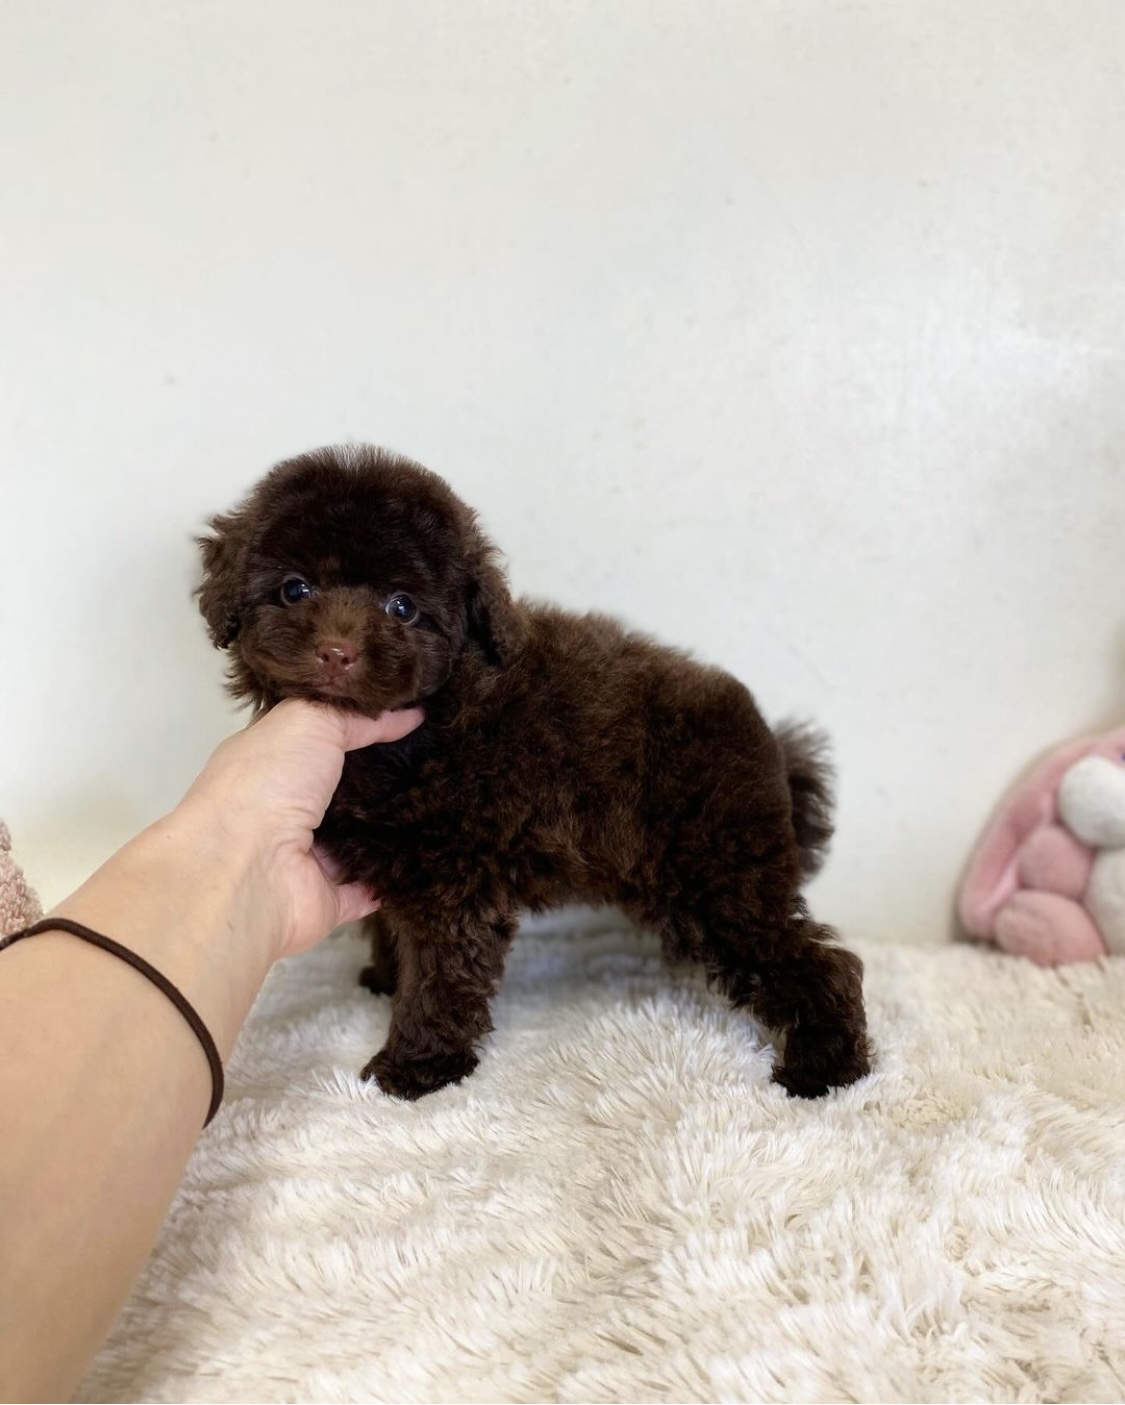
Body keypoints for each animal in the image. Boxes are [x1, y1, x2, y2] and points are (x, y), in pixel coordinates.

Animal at [197, 445, 871, 1100]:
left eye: (403, 608)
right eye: (295, 590)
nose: (337, 653)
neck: (415, 732)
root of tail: (773, 744)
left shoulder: (454, 876)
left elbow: (440, 974)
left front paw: (415, 1068)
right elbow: (395, 927)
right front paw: (386, 976)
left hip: (721, 874)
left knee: (818, 963)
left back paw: (826, 1071)